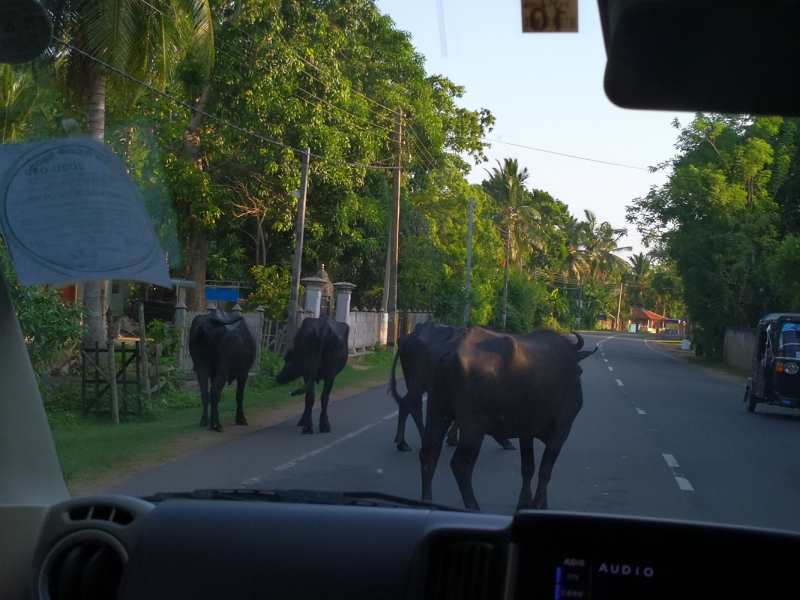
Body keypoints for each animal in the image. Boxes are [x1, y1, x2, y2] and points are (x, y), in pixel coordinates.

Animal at [422, 328, 596, 510]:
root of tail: (449, 349)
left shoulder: (526, 433)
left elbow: (528, 468)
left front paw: (525, 503)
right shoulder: (561, 430)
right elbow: (545, 470)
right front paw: (540, 504)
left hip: (437, 410)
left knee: (429, 454)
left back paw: (427, 500)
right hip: (473, 426)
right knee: (461, 465)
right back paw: (473, 506)